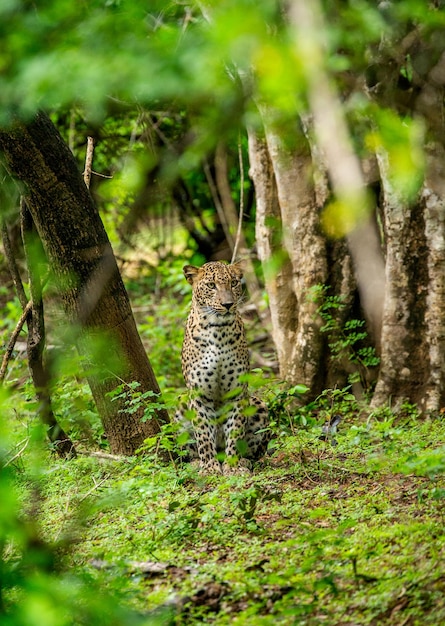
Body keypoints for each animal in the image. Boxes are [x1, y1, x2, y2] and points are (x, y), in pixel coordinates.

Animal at [178, 258, 268, 472]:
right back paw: (196, 463)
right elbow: (203, 433)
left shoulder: (237, 391)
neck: (218, 330)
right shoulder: (198, 394)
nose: (228, 304)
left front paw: (233, 467)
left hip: (258, 404)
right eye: (211, 285)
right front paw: (209, 468)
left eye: (234, 283)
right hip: (181, 402)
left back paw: (244, 461)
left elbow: (235, 431)